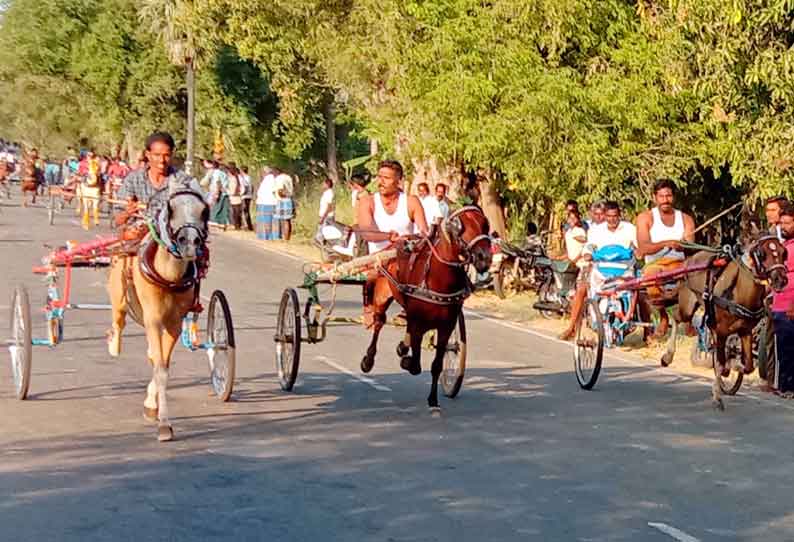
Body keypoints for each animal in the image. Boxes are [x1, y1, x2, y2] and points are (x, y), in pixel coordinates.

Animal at [106, 191, 209, 442]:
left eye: (204, 211)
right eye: (171, 209)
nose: (190, 242)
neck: (169, 277)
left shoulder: (174, 323)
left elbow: (163, 364)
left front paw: (153, 407)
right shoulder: (153, 319)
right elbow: (161, 369)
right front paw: (164, 425)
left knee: (152, 353)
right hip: (118, 293)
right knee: (118, 319)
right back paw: (113, 343)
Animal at [358, 207, 488, 412]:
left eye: (485, 224)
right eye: (460, 226)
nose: (485, 257)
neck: (439, 277)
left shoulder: (446, 327)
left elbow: (436, 365)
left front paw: (433, 399)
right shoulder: (418, 323)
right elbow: (416, 365)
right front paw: (406, 360)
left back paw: (403, 347)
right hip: (381, 295)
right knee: (379, 322)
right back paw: (369, 359)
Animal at [656, 224, 784, 408]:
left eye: (782, 251)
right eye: (762, 253)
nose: (781, 279)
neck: (739, 290)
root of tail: (689, 260)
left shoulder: (745, 331)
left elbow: (748, 365)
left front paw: (735, 367)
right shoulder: (722, 330)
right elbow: (722, 364)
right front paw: (718, 392)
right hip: (688, 304)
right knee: (677, 317)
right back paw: (668, 356)